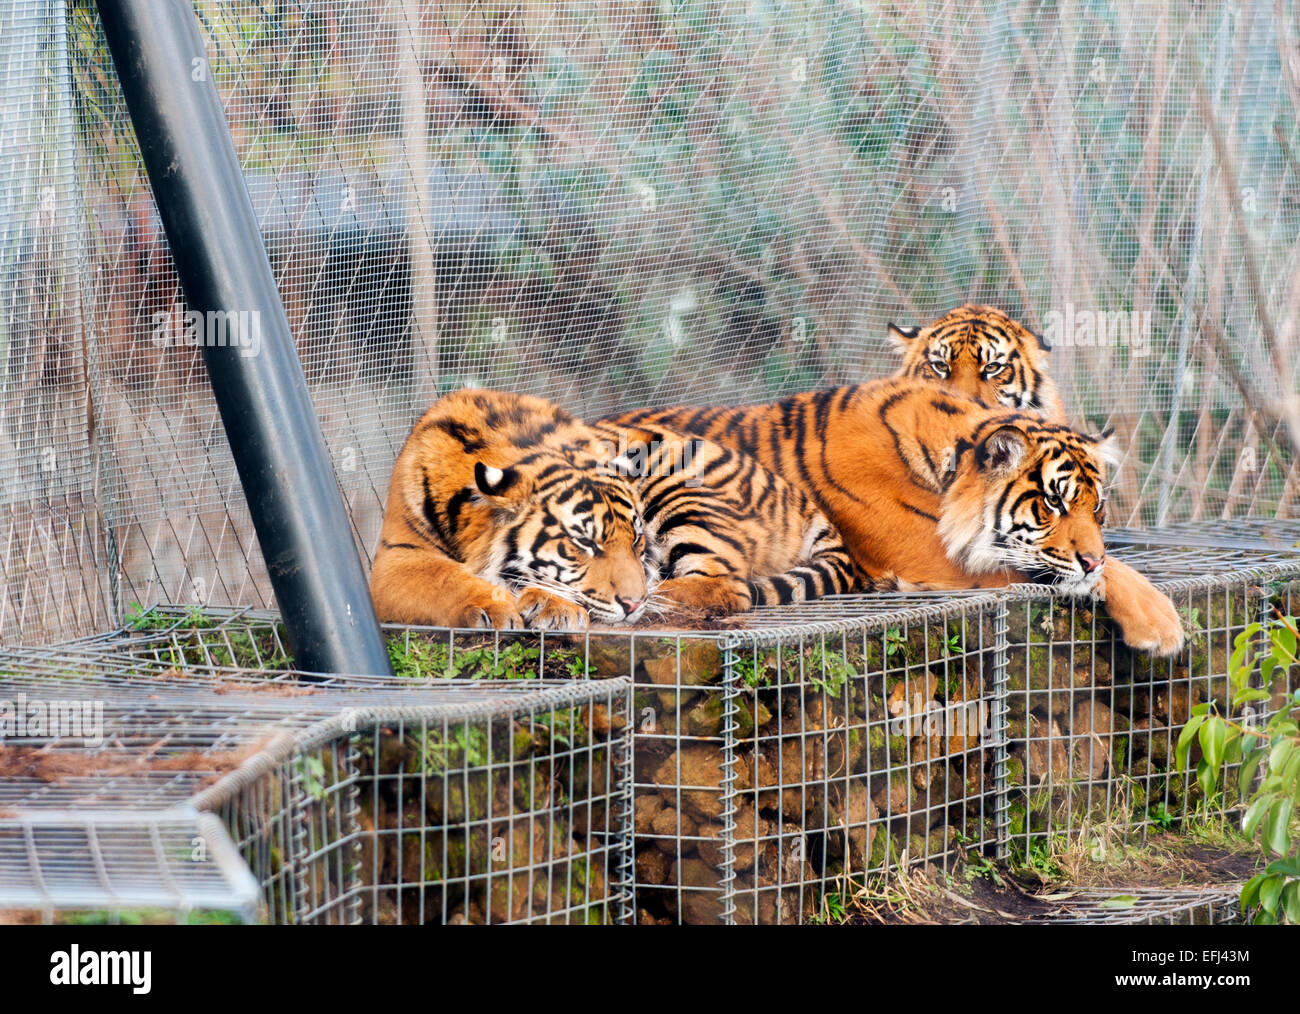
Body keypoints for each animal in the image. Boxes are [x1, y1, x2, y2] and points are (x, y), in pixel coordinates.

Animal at [370, 389, 855, 630]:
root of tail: (800, 497)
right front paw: (501, 606)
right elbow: (444, 579)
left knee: (727, 586)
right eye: (584, 544)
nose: (632, 601)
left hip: (679, 483)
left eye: (637, 540)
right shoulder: (396, 561)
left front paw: (550, 606)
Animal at [603, 377, 1185, 656]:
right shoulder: (932, 554)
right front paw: (1163, 626)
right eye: (1054, 502)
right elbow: (1108, 570)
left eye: (1097, 507)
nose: (1091, 558)